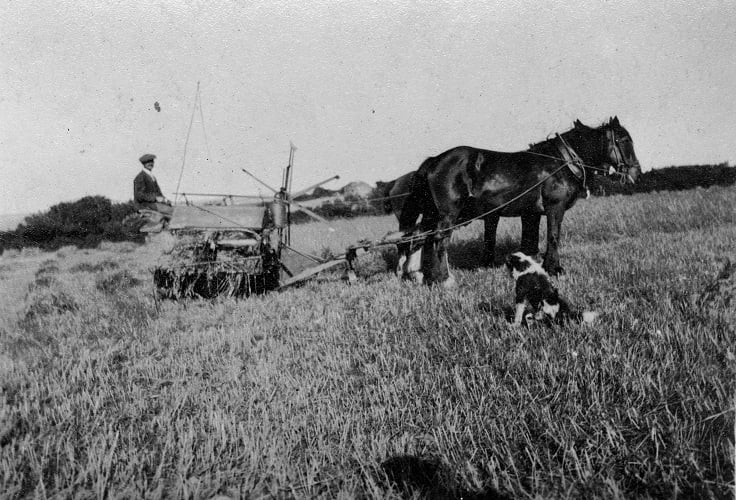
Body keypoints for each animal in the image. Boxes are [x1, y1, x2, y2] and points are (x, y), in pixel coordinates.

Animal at [396, 117, 640, 288]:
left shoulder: (531, 214)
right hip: (448, 215)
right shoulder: (554, 208)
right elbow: (553, 236)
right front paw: (554, 268)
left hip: (432, 214)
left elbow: (529, 244)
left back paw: (419, 274)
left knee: (419, 238)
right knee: (439, 241)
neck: (562, 162)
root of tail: (434, 160)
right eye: (625, 140)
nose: (636, 172)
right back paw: (443, 279)